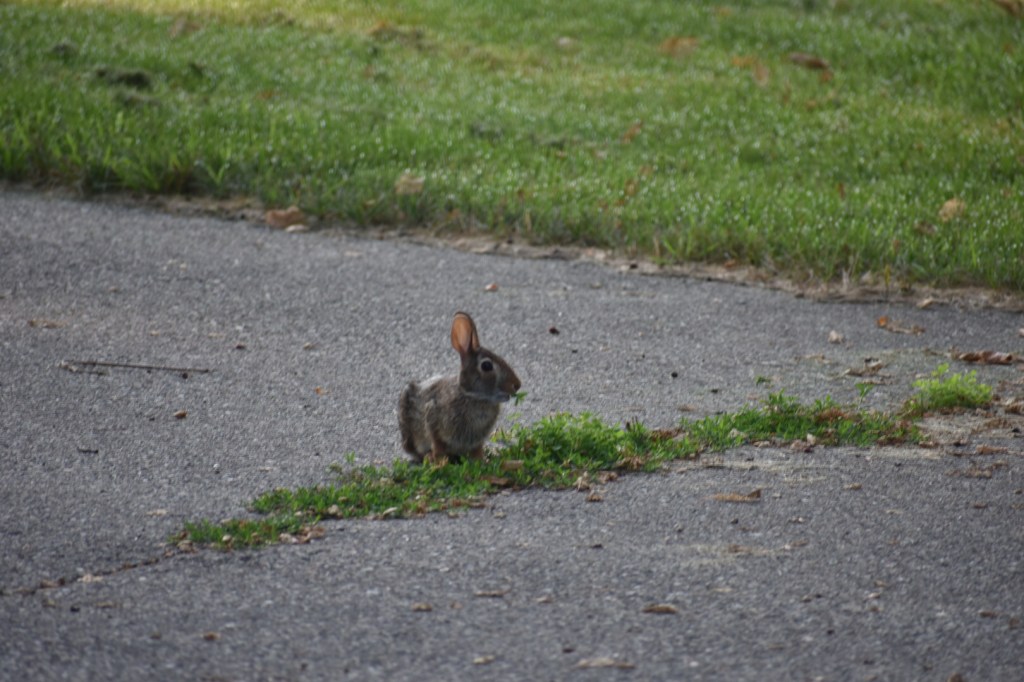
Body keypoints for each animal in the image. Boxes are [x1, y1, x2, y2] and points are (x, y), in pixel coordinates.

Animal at [399, 312, 522, 465]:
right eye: (487, 366)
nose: (517, 385)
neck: (472, 396)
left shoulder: (477, 440)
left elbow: (477, 450)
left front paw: (482, 461)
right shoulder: (433, 420)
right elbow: (438, 444)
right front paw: (439, 462)